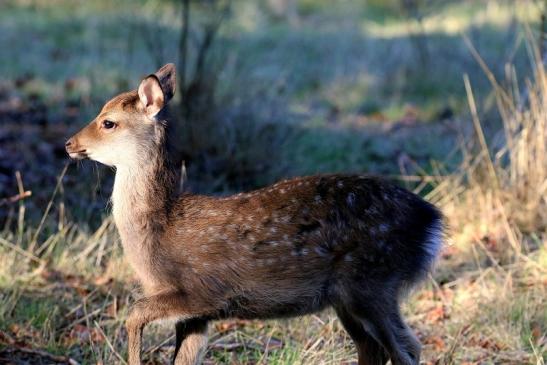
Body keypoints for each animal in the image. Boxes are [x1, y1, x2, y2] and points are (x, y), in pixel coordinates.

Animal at [66, 64, 446, 362]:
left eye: (108, 122)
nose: (70, 143)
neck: (159, 230)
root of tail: (432, 220)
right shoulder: (199, 314)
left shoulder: (203, 289)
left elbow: (134, 313)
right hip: (350, 296)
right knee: (374, 348)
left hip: (373, 280)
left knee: (407, 348)